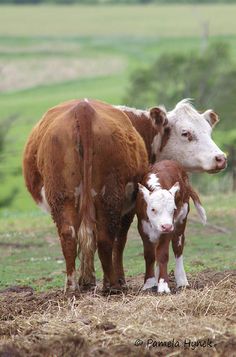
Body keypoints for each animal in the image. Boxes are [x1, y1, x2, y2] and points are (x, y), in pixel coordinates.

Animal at [23, 98, 168, 292]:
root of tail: (83, 109)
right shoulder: (130, 207)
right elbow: (119, 240)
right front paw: (113, 279)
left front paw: (87, 280)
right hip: (109, 195)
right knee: (105, 238)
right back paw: (112, 285)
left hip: (64, 195)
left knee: (70, 234)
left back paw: (73, 287)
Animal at [136, 161, 206, 292]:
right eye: (153, 209)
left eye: (173, 209)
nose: (166, 226)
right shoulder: (143, 227)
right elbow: (149, 255)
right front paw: (149, 284)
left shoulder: (170, 227)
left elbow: (163, 254)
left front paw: (163, 285)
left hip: (181, 220)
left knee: (178, 248)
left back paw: (182, 281)